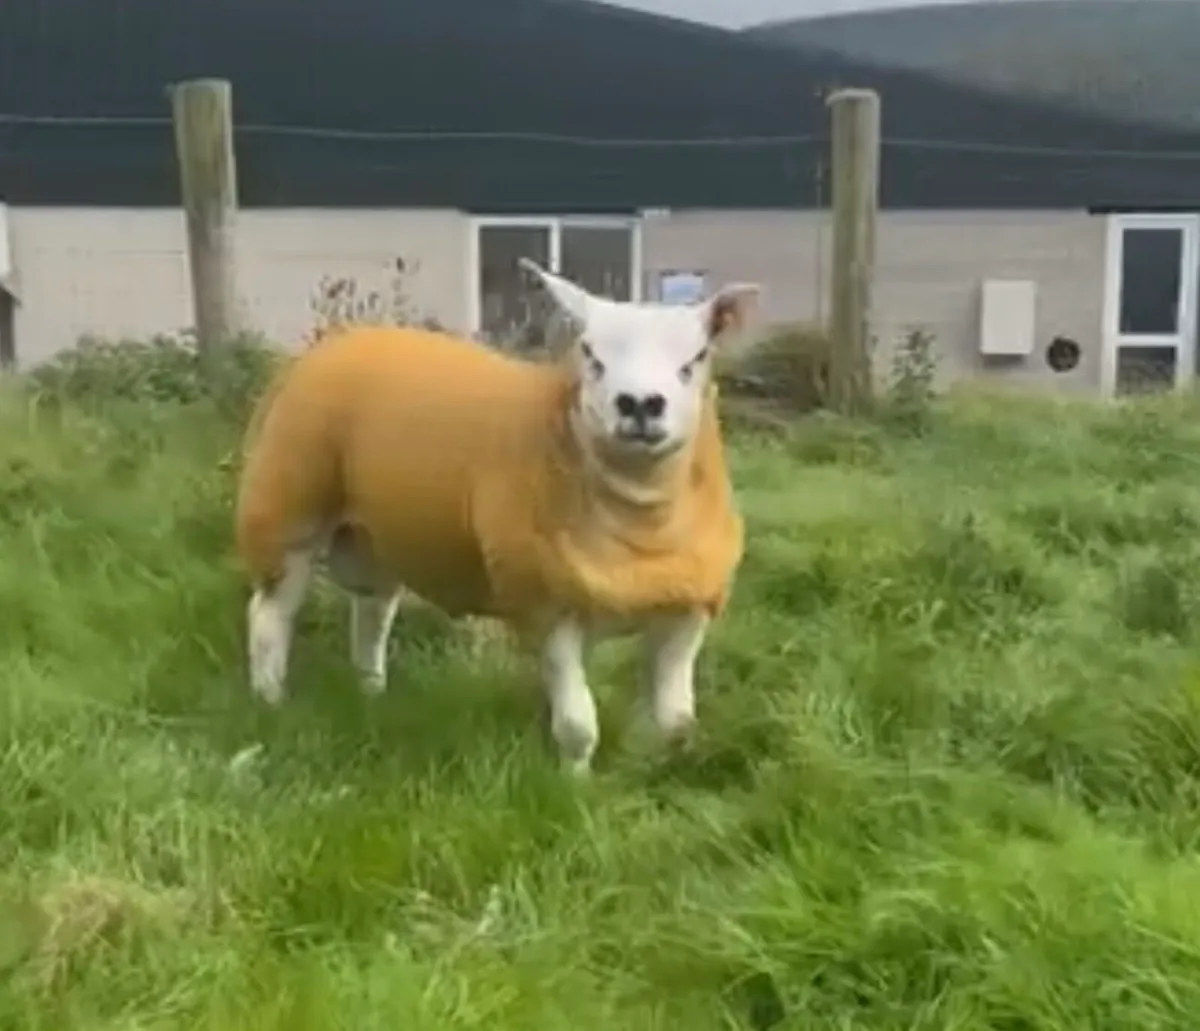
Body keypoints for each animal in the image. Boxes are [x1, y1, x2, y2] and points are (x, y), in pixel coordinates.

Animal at [234, 259, 760, 774]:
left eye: (696, 358)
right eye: (590, 354)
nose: (639, 404)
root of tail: (342, 340)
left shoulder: (688, 607)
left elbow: (676, 718)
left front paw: (657, 765)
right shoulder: (545, 606)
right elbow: (578, 725)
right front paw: (575, 784)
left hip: (374, 534)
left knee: (373, 611)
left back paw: (371, 691)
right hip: (287, 506)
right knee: (270, 616)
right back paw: (270, 701)